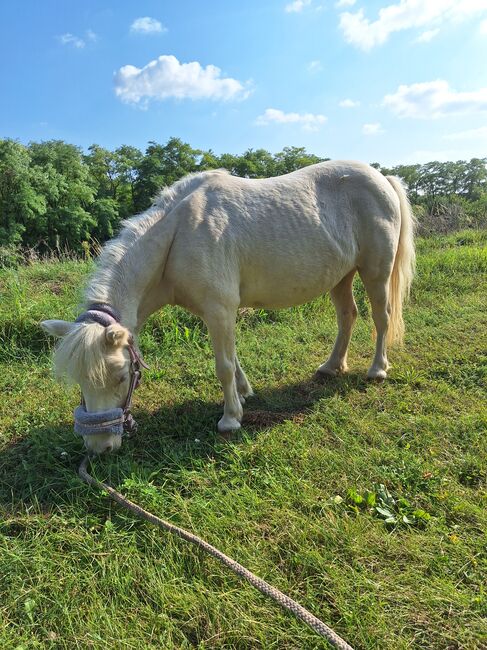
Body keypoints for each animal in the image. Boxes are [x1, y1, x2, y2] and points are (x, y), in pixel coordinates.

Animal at [42, 160, 416, 454]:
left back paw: (377, 369)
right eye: (79, 381)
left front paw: (230, 418)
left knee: (381, 318)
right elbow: (233, 359)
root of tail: (383, 178)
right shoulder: (218, 313)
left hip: (376, 272)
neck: (178, 234)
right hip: (341, 276)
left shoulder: (219, 309)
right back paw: (332, 366)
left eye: (121, 376)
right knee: (347, 316)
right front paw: (244, 393)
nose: (99, 447)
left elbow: (222, 365)